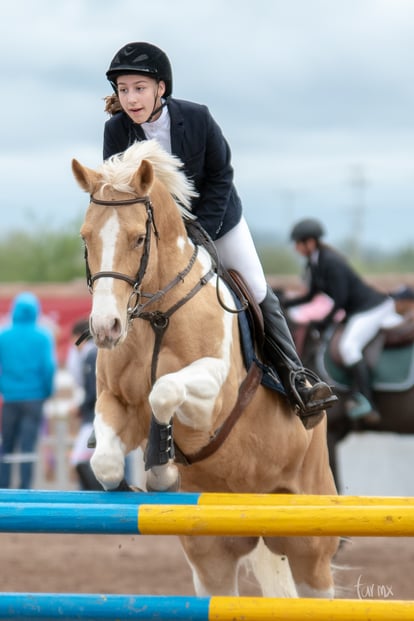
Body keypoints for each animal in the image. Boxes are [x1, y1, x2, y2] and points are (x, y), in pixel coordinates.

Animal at [73, 140, 338, 596]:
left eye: (138, 238)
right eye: (86, 237)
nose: (106, 329)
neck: (156, 315)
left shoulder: (212, 400)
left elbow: (164, 390)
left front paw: (161, 469)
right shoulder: (116, 400)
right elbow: (105, 462)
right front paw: (149, 475)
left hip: (310, 544)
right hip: (213, 553)